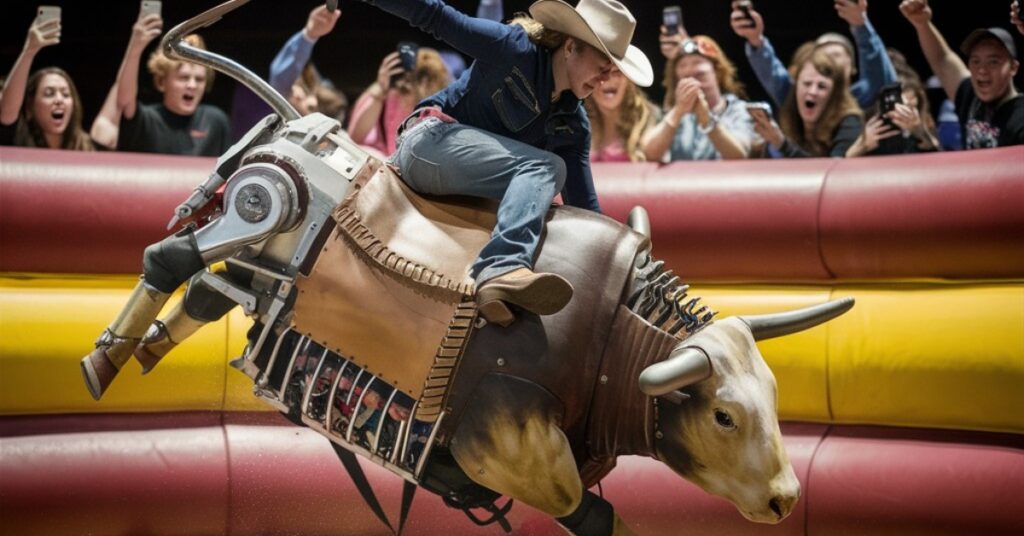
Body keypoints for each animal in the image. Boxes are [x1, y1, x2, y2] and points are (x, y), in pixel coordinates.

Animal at [77, 2, 847, 532]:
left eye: (773, 393)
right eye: (723, 415)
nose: (785, 498)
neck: (614, 347)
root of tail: (301, 128)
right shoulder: (507, 442)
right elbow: (584, 506)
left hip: (253, 260)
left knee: (203, 289)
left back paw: (138, 350)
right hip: (260, 205)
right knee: (171, 254)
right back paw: (105, 358)